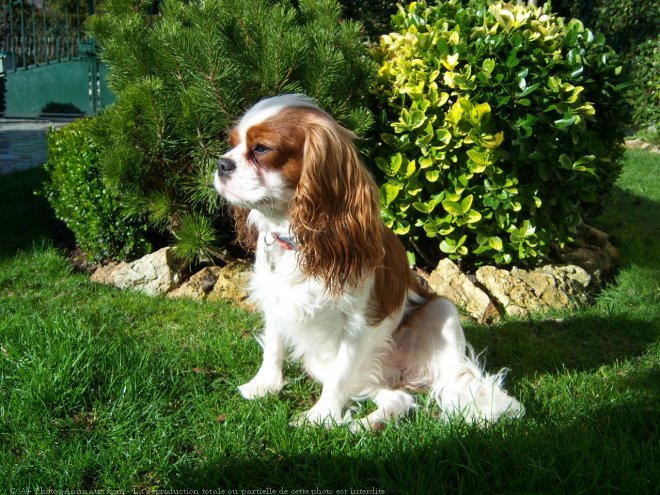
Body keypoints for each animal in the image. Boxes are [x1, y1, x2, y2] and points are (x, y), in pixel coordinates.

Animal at [213, 94, 520, 430]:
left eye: (262, 149)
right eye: (231, 144)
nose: (221, 164)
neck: (297, 236)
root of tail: (402, 376)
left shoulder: (362, 321)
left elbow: (339, 375)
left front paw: (320, 417)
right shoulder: (276, 297)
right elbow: (273, 345)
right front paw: (264, 385)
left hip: (443, 310)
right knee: (399, 400)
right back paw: (367, 425)